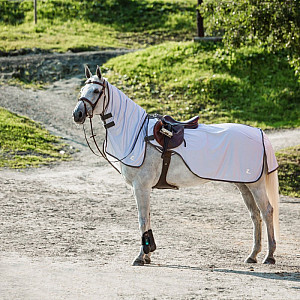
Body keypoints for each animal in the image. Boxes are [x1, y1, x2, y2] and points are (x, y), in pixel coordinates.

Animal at [72, 65, 278, 264]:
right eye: (82, 90)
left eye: (96, 90)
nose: (77, 114)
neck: (137, 135)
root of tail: (259, 132)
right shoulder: (143, 188)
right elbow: (147, 219)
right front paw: (148, 254)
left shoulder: (141, 187)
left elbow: (142, 219)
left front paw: (141, 256)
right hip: (244, 185)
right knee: (255, 215)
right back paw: (253, 255)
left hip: (256, 185)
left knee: (267, 211)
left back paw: (269, 256)